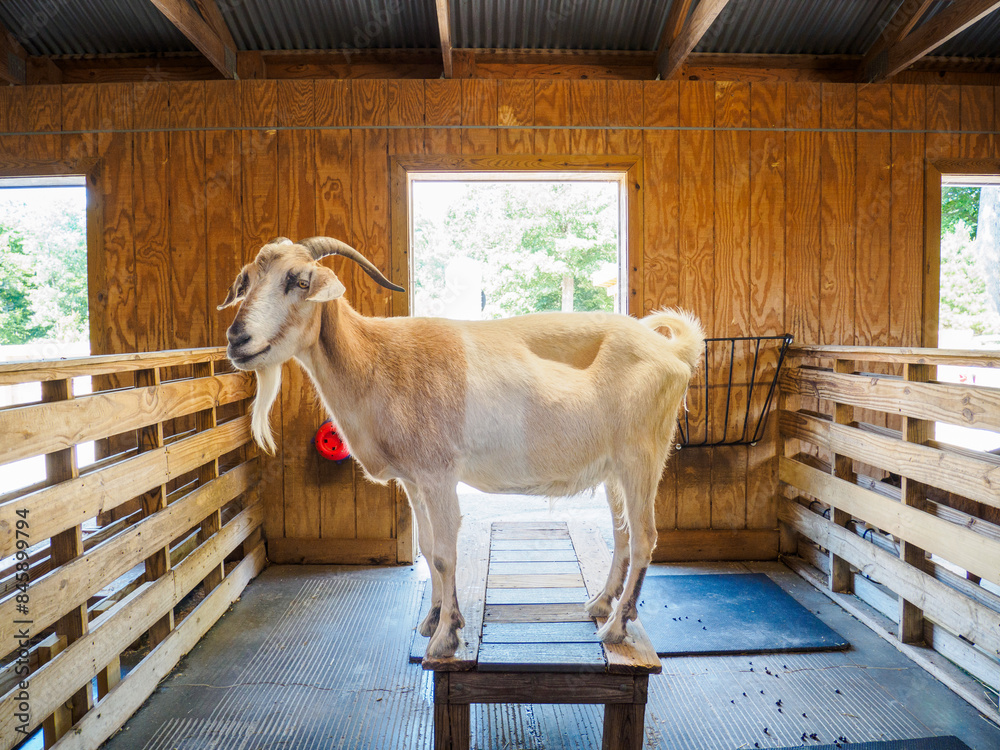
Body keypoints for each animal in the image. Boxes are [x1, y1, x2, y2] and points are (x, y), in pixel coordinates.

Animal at [221, 238, 704, 660]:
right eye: (246, 281)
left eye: (300, 280)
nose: (237, 340)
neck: (378, 361)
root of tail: (673, 351)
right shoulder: (414, 480)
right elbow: (428, 548)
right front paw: (434, 619)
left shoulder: (439, 474)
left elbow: (443, 553)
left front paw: (444, 639)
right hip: (613, 470)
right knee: (622, 535)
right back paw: (600, 604)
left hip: (643, 456)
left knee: (644, 537)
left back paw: (617, 626)